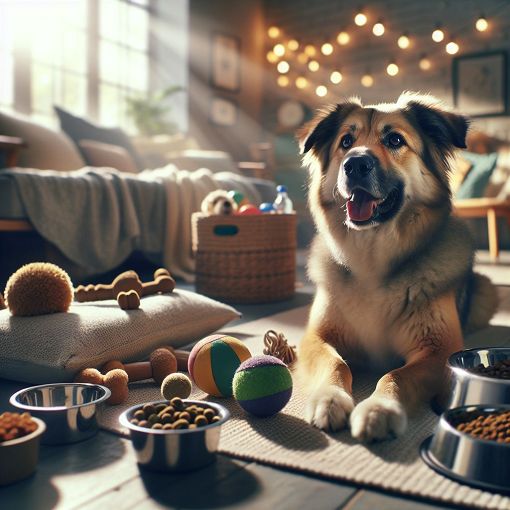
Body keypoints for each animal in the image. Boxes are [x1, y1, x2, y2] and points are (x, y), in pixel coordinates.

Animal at [294, 91, 498, 442]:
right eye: (346, 141)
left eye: (395, 140)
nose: (355, 164)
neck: (373, 260)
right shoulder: (315, 338)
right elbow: (337, 364)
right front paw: (329, 398)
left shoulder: (438, 351)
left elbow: (395, 375)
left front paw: (380, 408)